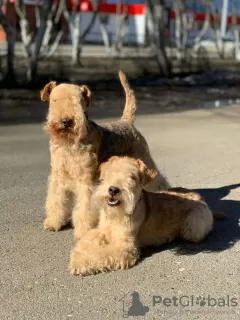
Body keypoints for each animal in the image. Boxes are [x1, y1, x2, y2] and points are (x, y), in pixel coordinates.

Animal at [40, 71, 170, 239]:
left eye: (79, 101)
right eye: (55, 100)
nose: (67, 121)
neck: (69, 142)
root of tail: (127, 121)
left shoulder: (86, 180)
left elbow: (86, 208)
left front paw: (84, 230)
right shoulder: (59, 176)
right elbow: (56, 200)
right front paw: (53, 222)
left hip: (144, 158)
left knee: (158, 181)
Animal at [69, 156, 225, 276]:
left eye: (132, 177)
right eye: (110, 173)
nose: (113, 190)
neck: (116, 215)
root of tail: (201, 198)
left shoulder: (125, 247)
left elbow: (100, 254)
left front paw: (79, 263)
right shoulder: (101, 231)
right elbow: (86, 240)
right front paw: (77, 254)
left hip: (193, 227)